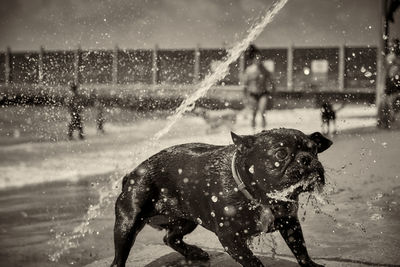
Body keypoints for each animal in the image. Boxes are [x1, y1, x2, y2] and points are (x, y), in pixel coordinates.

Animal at [110, 129, 332, 266]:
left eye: (314, 150)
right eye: (281, 153)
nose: (307, 159)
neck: (262, 197)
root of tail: (131, 173)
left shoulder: (290, 222)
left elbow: (300, 248)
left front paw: (311, 265)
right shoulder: (230, 238)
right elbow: (253, 261)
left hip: (187, 219)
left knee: (170, 237)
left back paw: (194, 252)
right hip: (128, 222)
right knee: (119, 256)